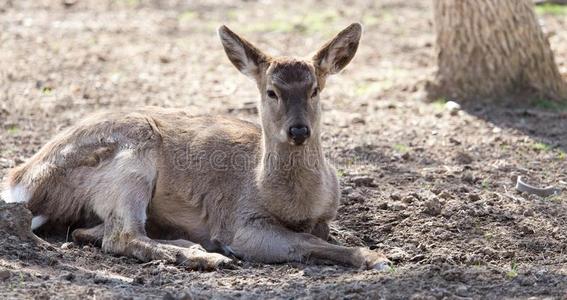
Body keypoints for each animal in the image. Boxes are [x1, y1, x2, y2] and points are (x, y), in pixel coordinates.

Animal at [1, 24, 390, 270]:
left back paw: (192, 246)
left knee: (92, 232)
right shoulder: (239, 219)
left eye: (315, 90)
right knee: (121, 236)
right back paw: (208, 257)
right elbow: (305, 242)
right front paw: (375, 258)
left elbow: (320, 236)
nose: (298, 130)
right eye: (271, 92)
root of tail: (21, 181)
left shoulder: (325, 216)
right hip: (130, 159)